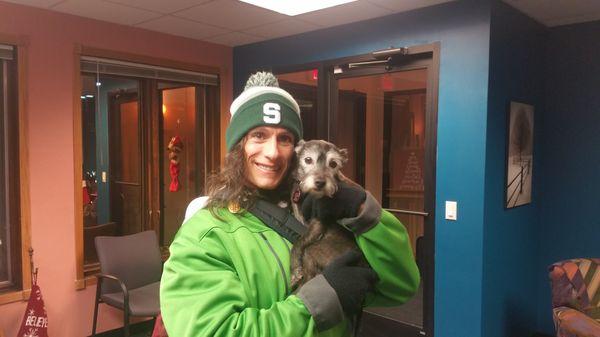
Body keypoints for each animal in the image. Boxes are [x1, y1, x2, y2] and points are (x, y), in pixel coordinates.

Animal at [290, 138, 366, 290]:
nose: (320, 182)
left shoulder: (317, 223)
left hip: (315, 249)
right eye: (308, 160)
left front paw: (295, 270)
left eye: (333, 164)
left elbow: (298, 242)